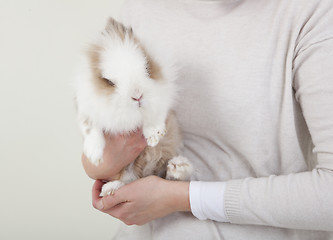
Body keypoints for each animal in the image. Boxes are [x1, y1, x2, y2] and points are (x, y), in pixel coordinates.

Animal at [74, 17, 192, 196]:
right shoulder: (86, 108)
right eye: (109, 81)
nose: (138, 96)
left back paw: (179, 167)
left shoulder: (162, 98)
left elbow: (155, 115)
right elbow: (90, 127)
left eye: (147, 67)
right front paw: (94, 156)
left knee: (163, 173)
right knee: (130, 179)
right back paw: (109, 189)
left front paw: (154, 136)